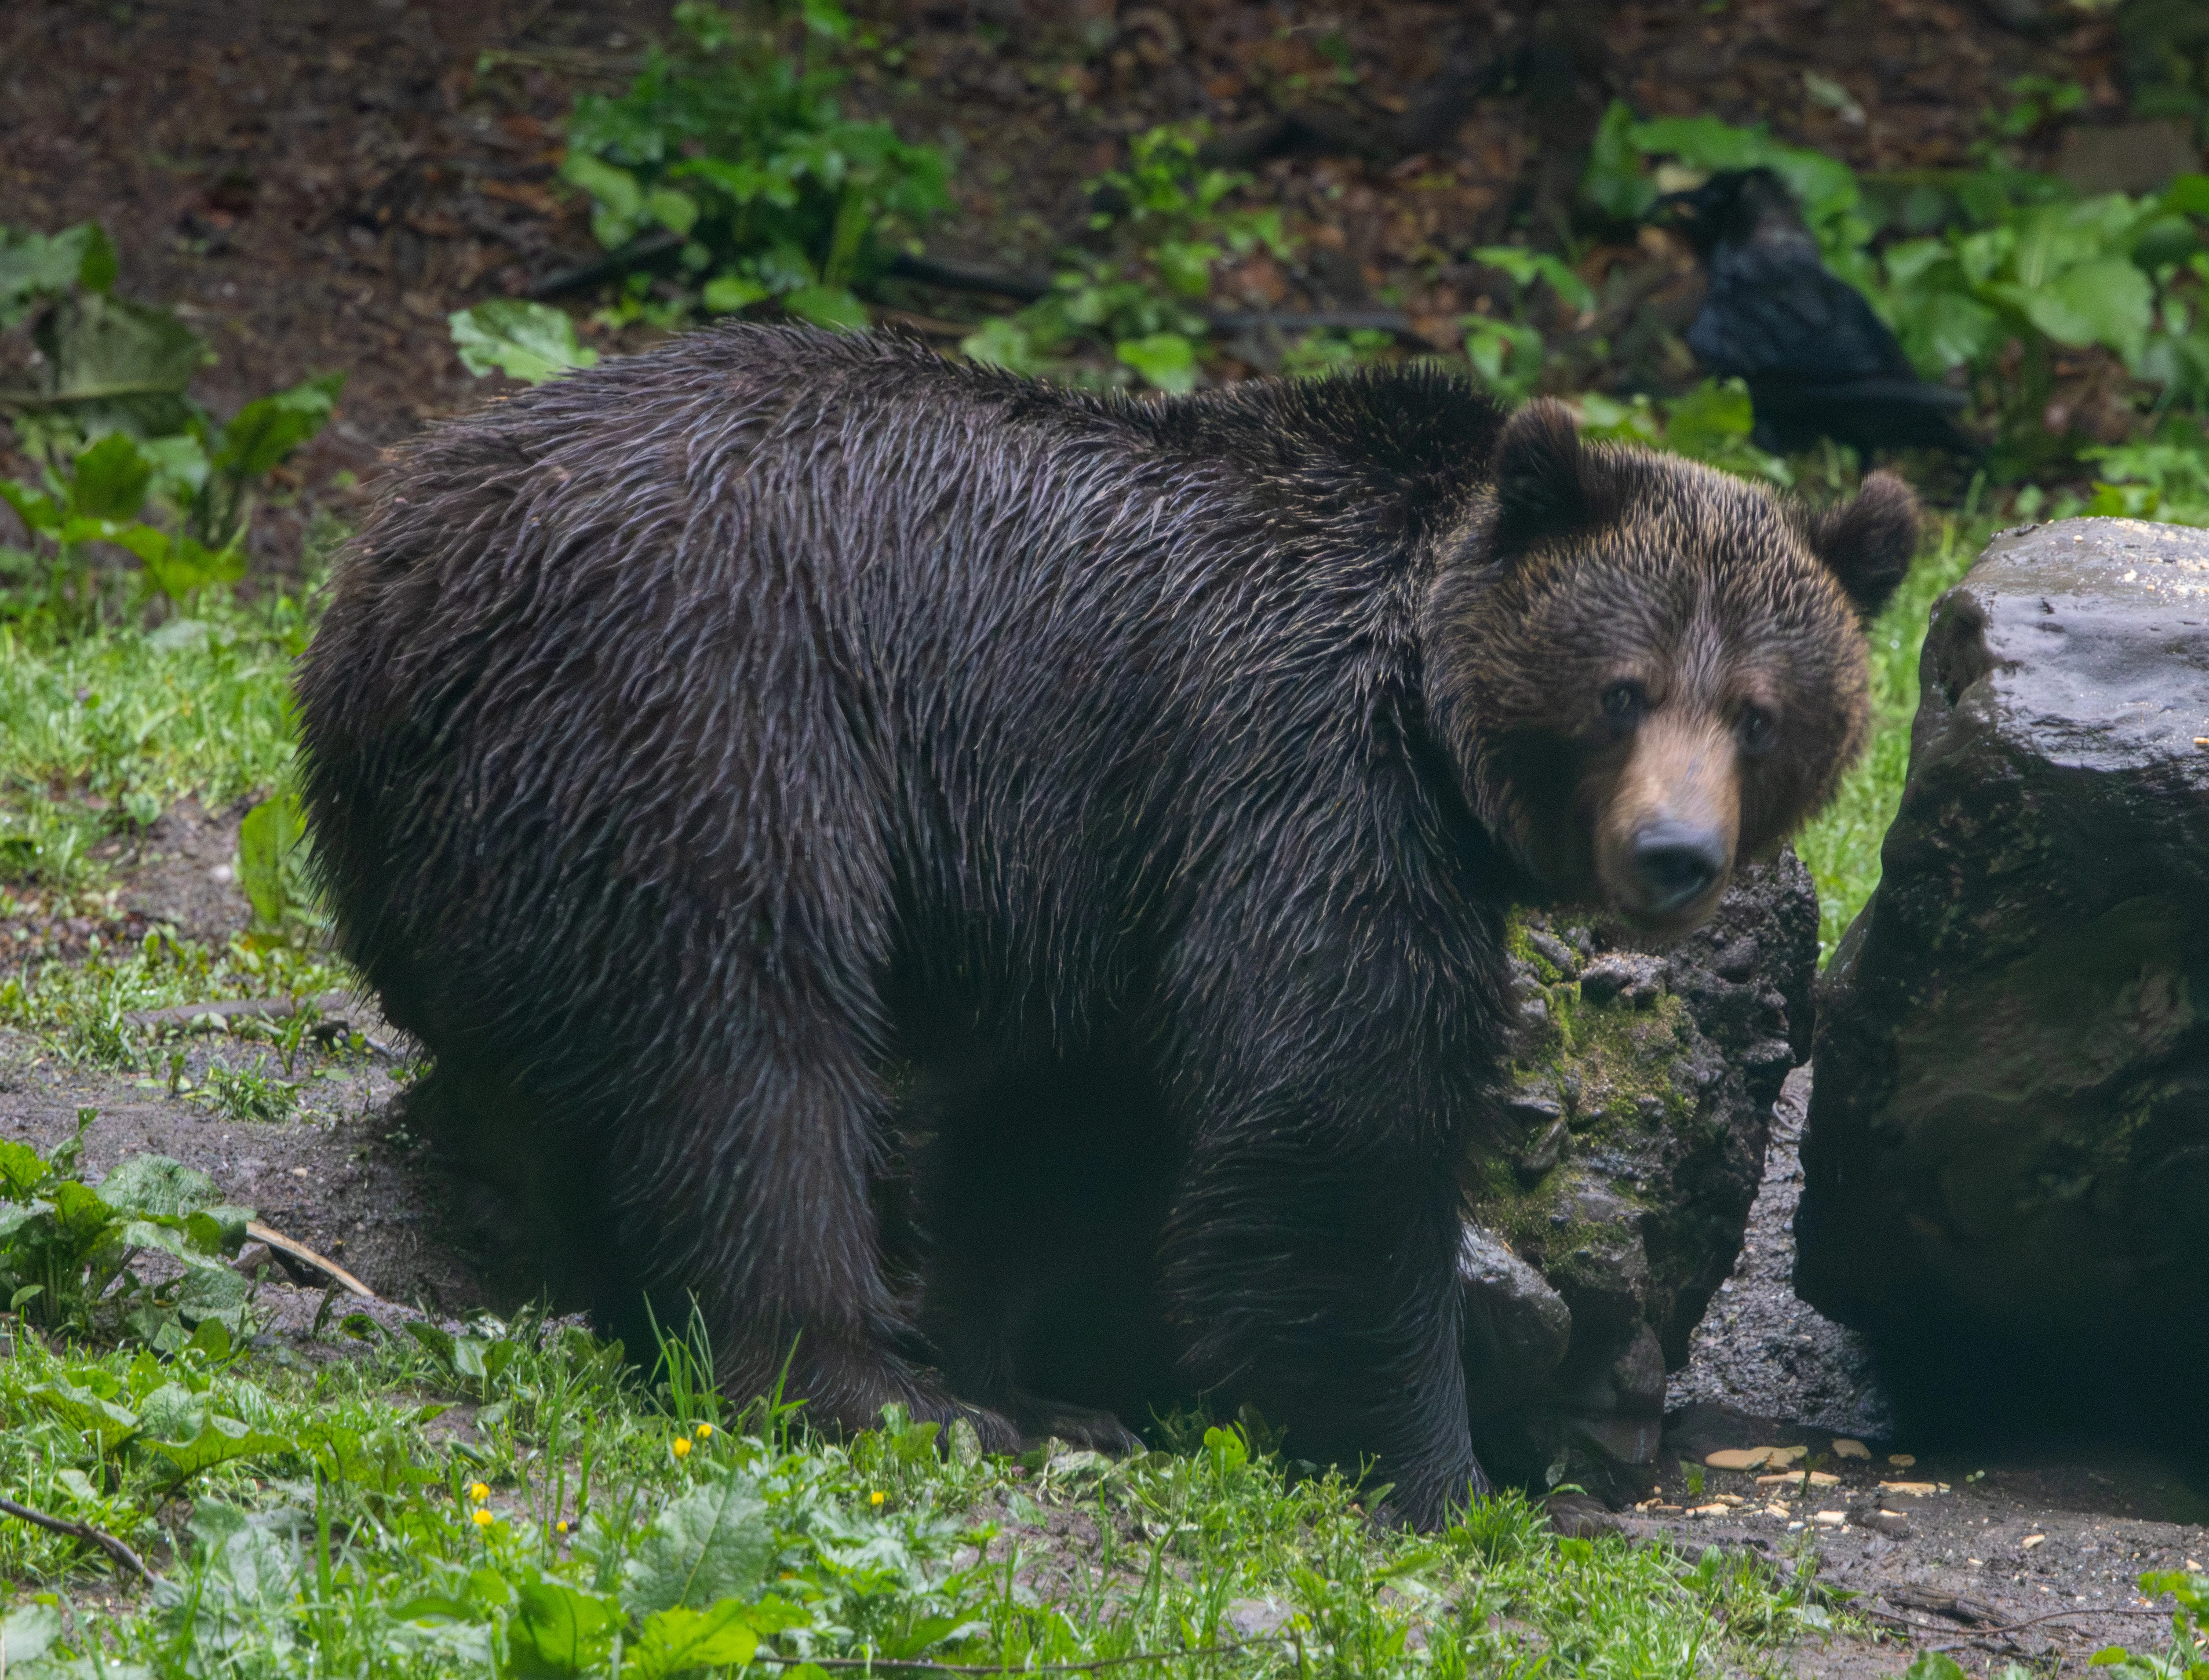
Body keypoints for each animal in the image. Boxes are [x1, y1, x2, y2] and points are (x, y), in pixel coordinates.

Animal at [294, 326, 1915, 1529]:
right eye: (1623, 687)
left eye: (1760, 712)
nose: (1675, 855)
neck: (1430, 711)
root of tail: (374, 590)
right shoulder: (1303, 777)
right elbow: (1331, 1119)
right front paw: (1443, 1469)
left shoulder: (1122, 861)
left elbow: (1063, 1120)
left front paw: (1044, 1376)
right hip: (700, 716)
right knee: (748, 1055)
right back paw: (862, 1379)